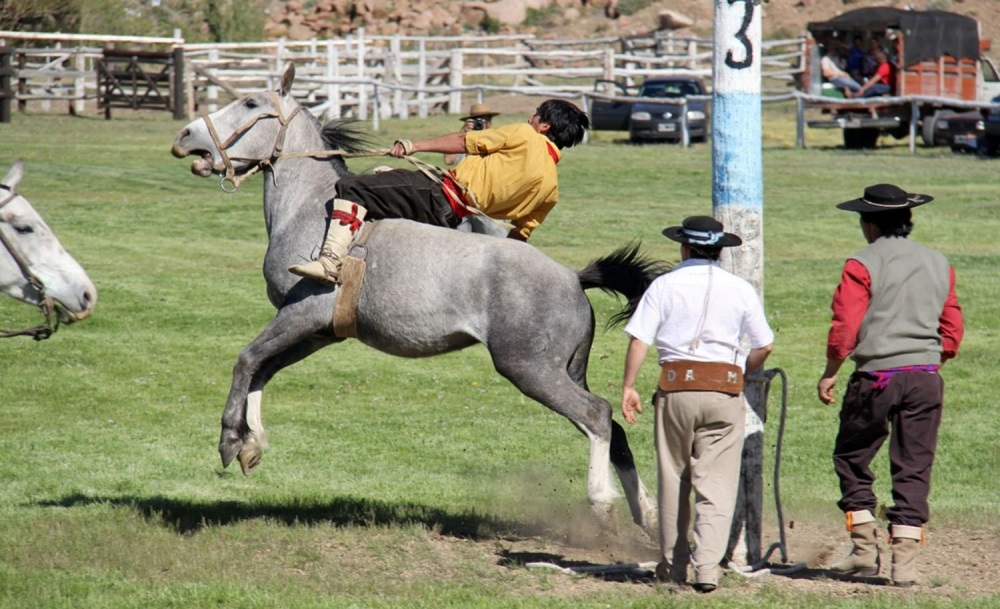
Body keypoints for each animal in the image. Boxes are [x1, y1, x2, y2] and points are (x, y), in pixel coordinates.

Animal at [171, 64, 662, 535]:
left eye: (250, 102)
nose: (185, 136)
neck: (309, 209)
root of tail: (573, 278)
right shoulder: (318, 332)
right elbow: (262, 370)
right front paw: (251, 444)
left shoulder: (301, 314)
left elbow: (247, 360)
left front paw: (230, 440)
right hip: (568, 369)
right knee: (614, 429)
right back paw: (649, 514)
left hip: (530, 368)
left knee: (597, 415)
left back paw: (603, 504)